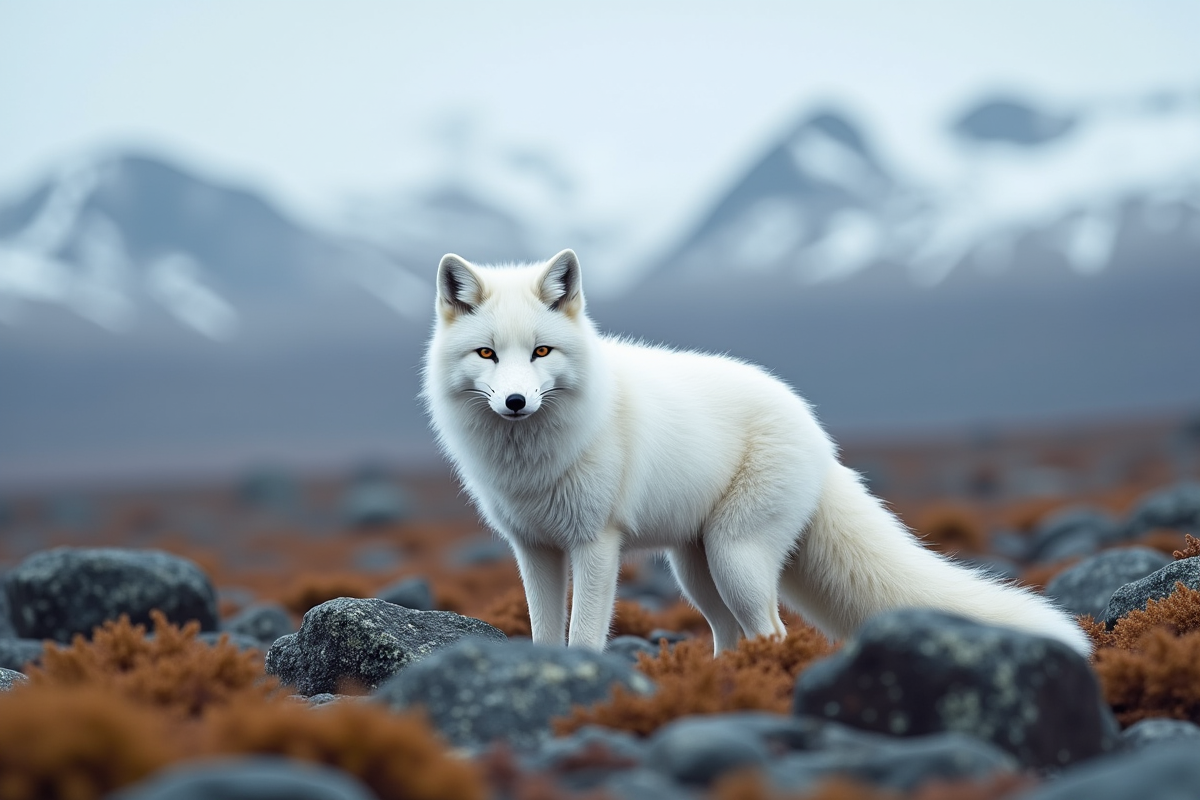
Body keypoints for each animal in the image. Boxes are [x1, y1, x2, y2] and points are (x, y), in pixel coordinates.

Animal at [422, 248, 1091, 656]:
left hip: (734, 558)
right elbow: (543, 635)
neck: (530, 462)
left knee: (770, 632)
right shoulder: (534, 549)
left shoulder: (596, 544)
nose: (515, 401)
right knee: (730, 636)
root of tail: (817, 432)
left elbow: (584, 637)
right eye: (487, 354)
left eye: (541, 352)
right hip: (697, 570)